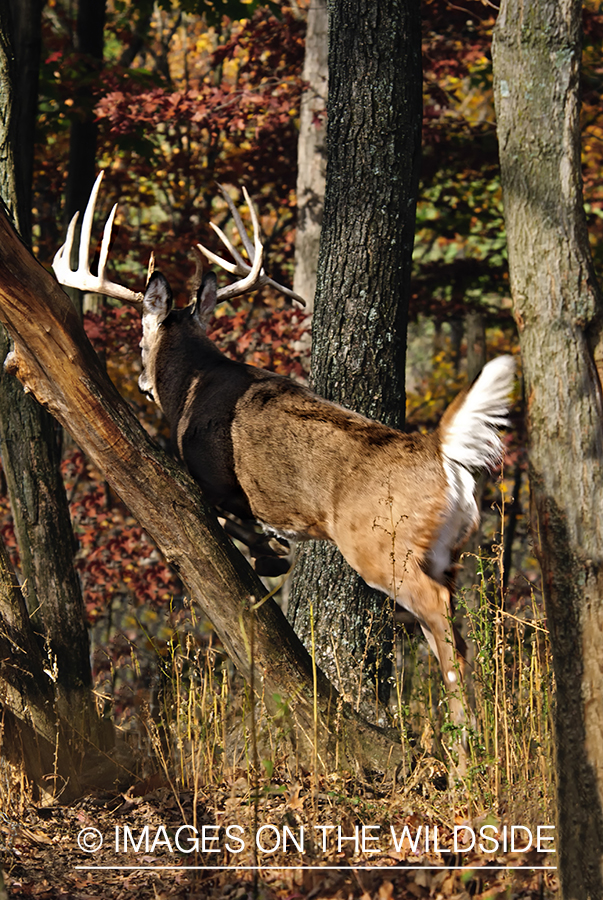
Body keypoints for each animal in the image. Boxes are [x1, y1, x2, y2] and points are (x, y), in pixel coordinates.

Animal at [55, 172, 516, 740]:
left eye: (140, 340)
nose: (142, 382)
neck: (193, 383)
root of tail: (440, 451)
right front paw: (272, 551)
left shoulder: (212, 479)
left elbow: (233, 519)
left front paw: (269, 551)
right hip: (448, 551)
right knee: (461, 628)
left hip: (382, 547)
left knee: (440, 618)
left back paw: (464, 734)